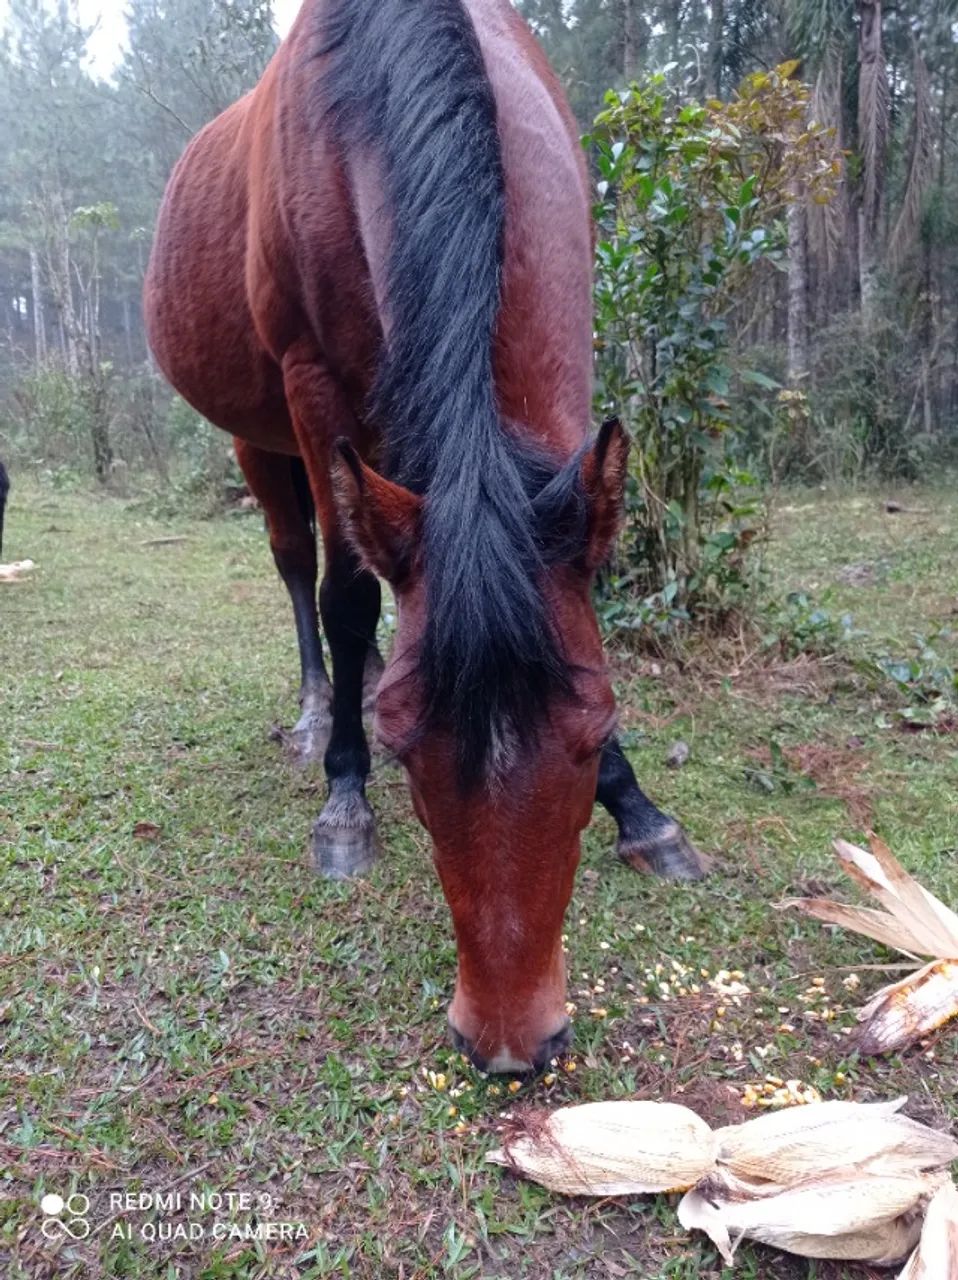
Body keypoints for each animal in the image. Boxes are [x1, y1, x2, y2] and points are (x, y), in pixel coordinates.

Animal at [145, 0, 707, 1073]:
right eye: (408, 755)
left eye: (596, 730)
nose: (512, 1043)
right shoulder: (312, 387)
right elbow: (347, 595)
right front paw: (346, 796)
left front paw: (641, 811)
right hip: (261, 434)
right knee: (301, 567)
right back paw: (320, 712)